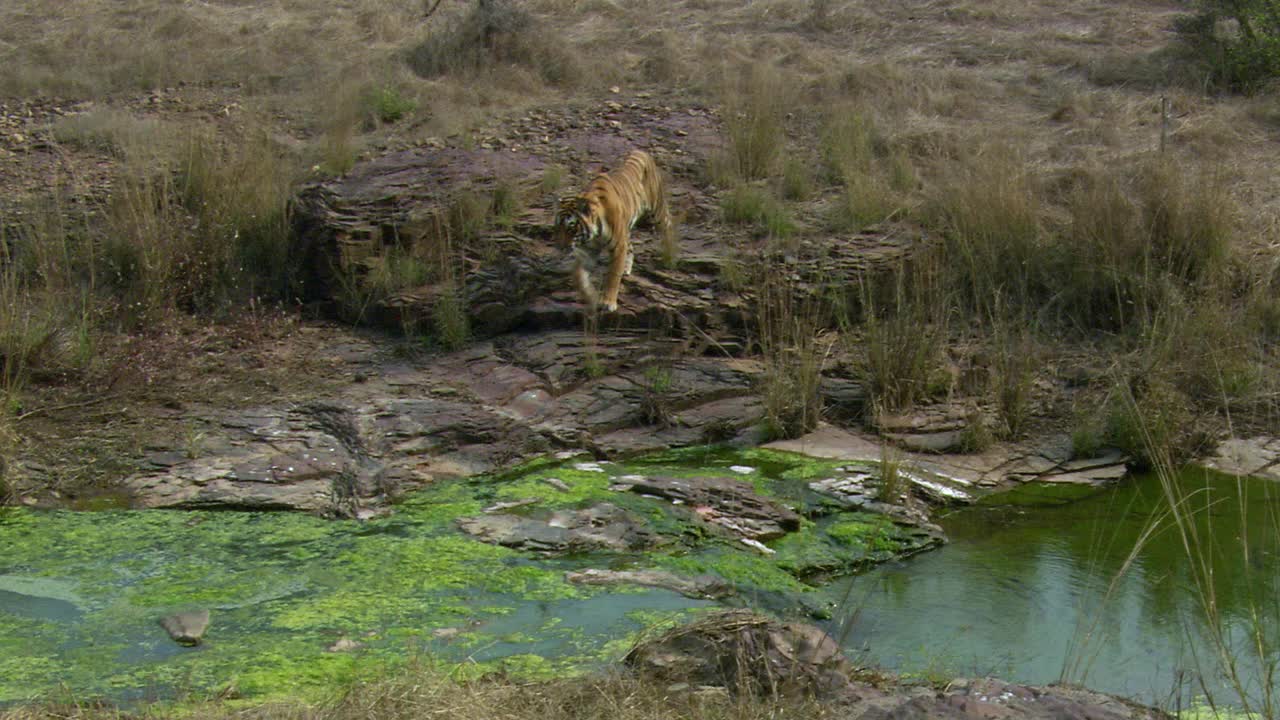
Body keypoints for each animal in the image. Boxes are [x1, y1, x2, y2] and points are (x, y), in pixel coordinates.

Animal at [552, 148, 675, 311]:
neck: (593, 233)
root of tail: (640, 150)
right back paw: (627, 268)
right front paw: (590, 297)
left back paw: (669, 256)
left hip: (656, 209)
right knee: (631, 246)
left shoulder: (618, 247)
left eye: (571, 228)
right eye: (557, 227)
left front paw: (608, 302)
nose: (560, 247)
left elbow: (613, 275)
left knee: (668, 225)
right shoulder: (588, 250)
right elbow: (579, 275)